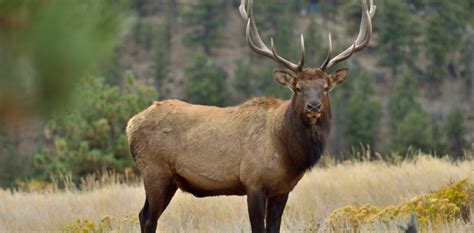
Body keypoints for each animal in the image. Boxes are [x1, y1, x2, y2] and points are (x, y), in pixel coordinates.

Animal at [127, 0, 378, 232]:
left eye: (325, 88)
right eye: (298, 88)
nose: (313, 106)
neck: (287, 153)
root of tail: (130, 125)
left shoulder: (282, 190)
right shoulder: (253, 182)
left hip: (168, 180)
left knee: (142, 214)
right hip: (155, 172)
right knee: (148, 218)